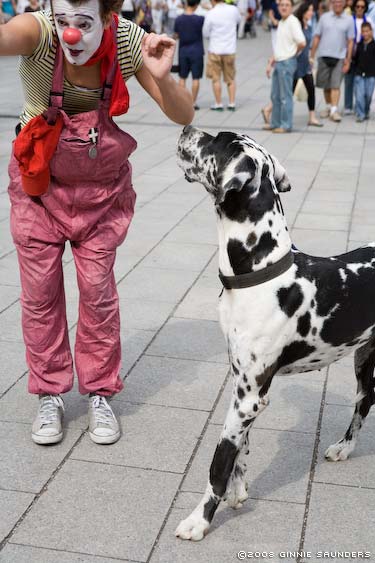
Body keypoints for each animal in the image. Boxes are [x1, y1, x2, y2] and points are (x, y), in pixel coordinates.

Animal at [175, 126, 375, 540]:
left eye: (215, 140)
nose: (187, 127)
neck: (258, 270)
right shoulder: (245, 387)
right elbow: (241, 448)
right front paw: (239, 490)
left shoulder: (248, 395)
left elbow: (218, 462)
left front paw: (200, 520)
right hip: (364, 356)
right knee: (366, 400)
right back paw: (345, 447)